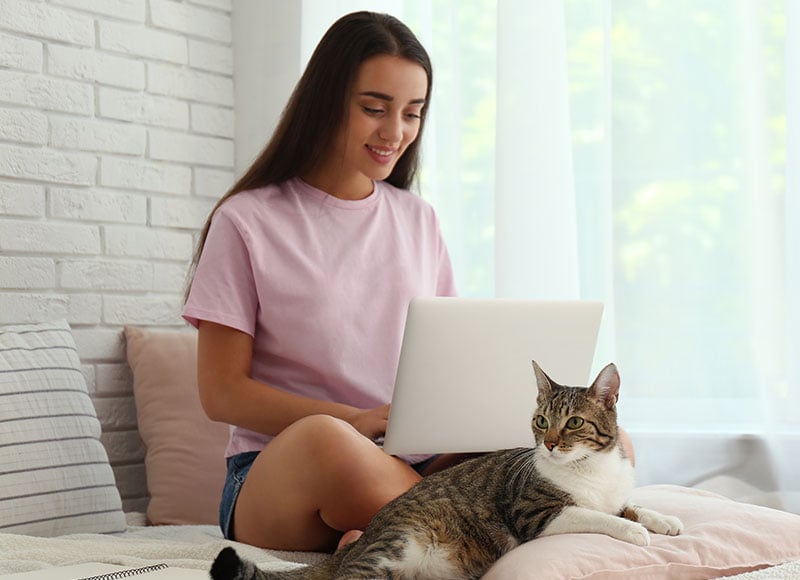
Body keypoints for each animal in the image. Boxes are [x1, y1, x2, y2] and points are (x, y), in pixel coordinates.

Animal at [211, 360, 680, 576]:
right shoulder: (537, 514)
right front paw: (634, 531)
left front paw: (665, 520)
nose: (548, 444)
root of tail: (355, 545)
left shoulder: (614, 493)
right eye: (542, 421)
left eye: (575, 423)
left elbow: (629, 505)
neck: (590, 469)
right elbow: (596, 515)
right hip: (396, 544)